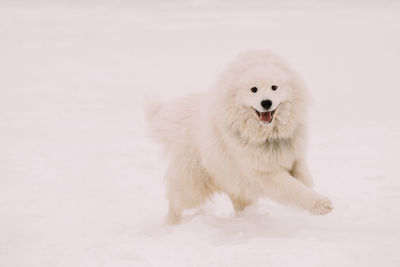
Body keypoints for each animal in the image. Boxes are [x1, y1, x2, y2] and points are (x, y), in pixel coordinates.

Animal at [145, 50, 332, 224]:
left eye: (274, 87)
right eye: (254, 89)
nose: (266, 102)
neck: (269, 136)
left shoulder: (296, 157)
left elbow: (303, 178)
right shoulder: (263, 174)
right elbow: (294, 189)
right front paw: (321, 204)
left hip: (235, 182)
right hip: (192, 185)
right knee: (175, 203)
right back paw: (169, 225)